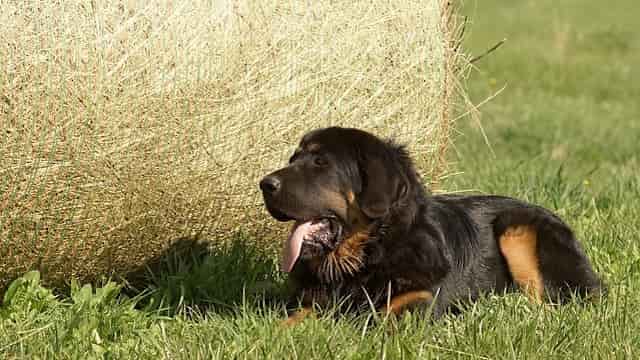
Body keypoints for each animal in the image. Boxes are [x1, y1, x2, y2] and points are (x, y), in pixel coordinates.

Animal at [258, 127, 604, 326]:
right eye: (293, 159)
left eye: (320, 163)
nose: (265, 184)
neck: (370, 255)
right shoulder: (311, 302)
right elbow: (289, 321)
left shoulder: (418, 301)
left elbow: (372, 319)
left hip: (516, 229)